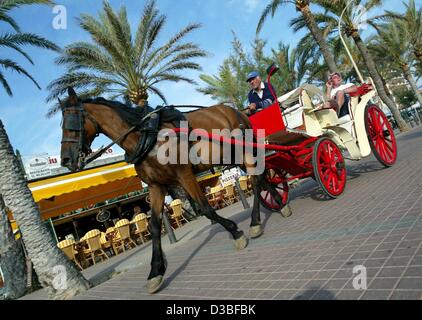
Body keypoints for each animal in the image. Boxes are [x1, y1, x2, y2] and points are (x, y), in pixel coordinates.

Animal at [59, 87, 268, 292]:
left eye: (71, 123)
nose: (66, 160)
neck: (147, 138)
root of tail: (236, 111)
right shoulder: (156, 186)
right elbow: (154, 226)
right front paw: (156, 271)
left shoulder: (184, 175)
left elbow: (206, 208)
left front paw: (235, 232)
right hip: (234, 156)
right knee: (261, 178)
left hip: (245, 151)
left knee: (257, 180)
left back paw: (255, 222)